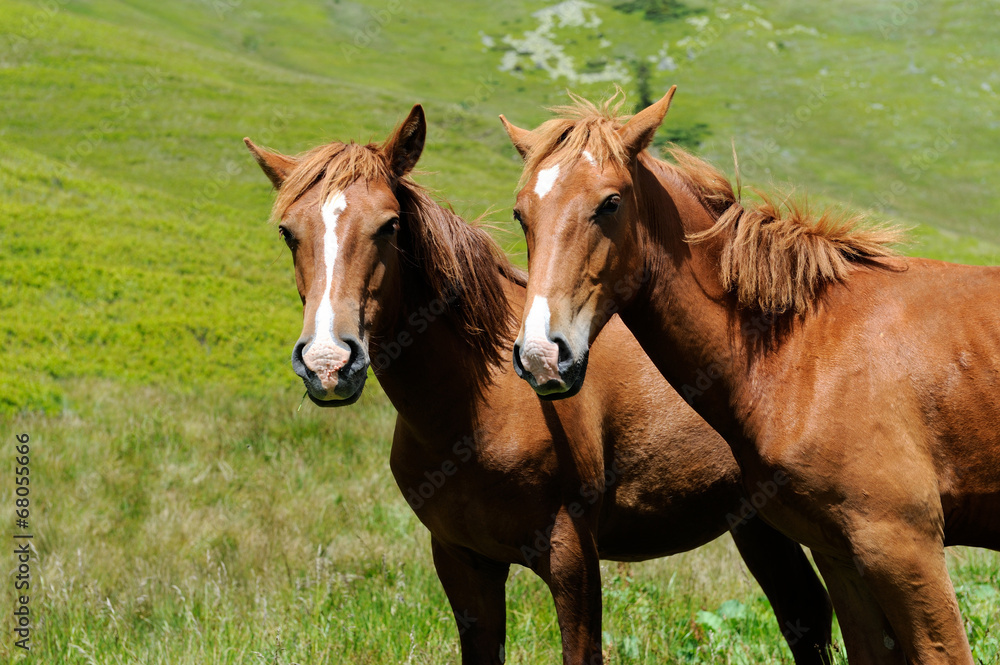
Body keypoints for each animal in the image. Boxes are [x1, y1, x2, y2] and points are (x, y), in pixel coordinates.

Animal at [244, 105, 836, 664]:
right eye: (288, 233)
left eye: (388, 226)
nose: (327, 362)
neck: (474, 410)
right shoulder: (463, 562)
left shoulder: (572, 556)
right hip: (756, 524)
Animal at [504, 88, 1000, 664]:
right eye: (521, 214)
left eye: (610, 203)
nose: (542, 354)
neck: (808, 348)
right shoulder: (840, 555)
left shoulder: (904, 547)